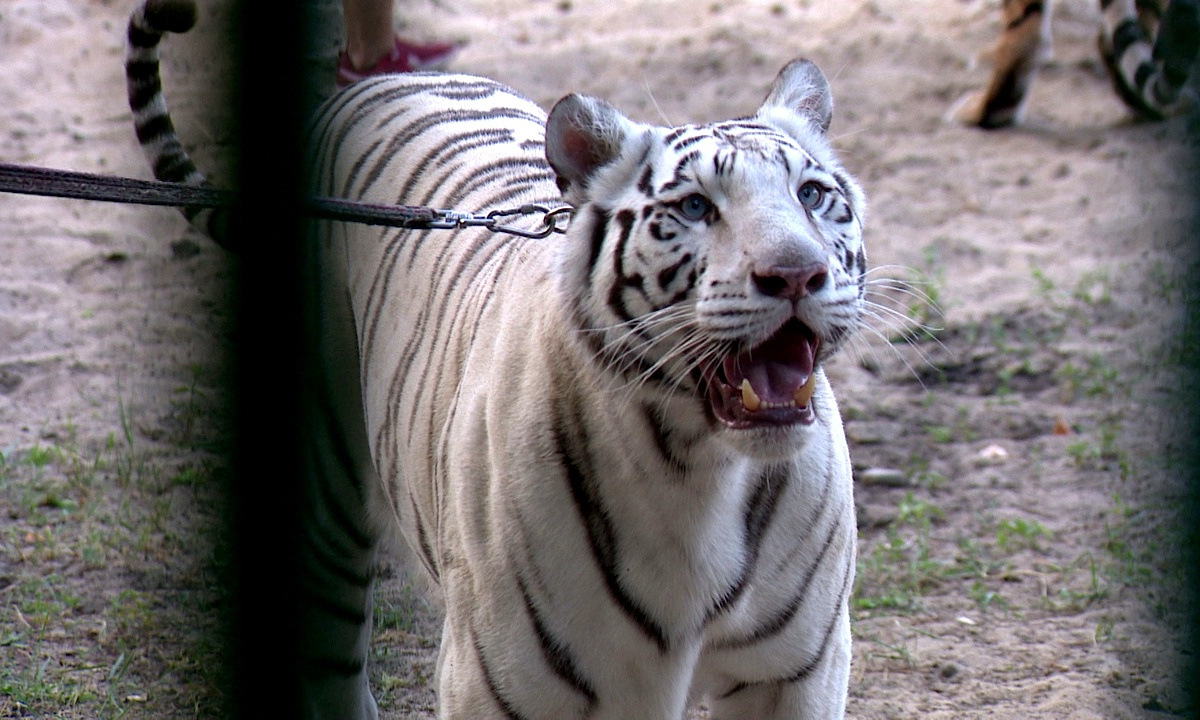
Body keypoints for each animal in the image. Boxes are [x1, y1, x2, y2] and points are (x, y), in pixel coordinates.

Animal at [129, 0, 864, 715]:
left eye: (812, 195)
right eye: (694, 207)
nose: (796, 275)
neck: (698, 468)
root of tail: (373, 84)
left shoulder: (797, 673)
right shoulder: (498, 678)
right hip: (324, 513)